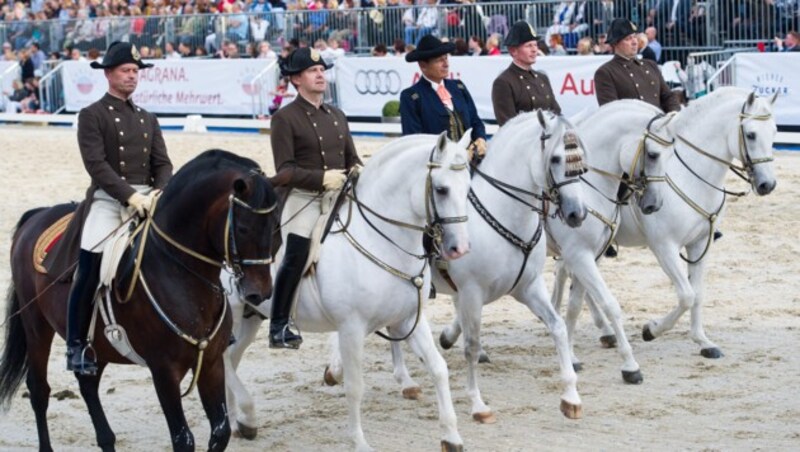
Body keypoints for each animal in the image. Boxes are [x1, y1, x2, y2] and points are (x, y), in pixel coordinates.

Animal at [0, 150, 280, 450]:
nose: (260, 292)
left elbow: (220, 433)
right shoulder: (164, 371)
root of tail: (38, 215)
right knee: (39, 390)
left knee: (88, 384)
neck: (179, 272)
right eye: (243, 227)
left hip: (97, 344)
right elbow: (183, 438)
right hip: (36, 327)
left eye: (275, 226)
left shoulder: (211, 364)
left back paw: (107, 439)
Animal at [222, 132, 472, 450]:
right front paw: (359, 442)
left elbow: (439, 368)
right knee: (224, 360)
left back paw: (235, 422)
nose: (459, 248)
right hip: (231, 311)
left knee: (231, 358)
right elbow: (355, 387)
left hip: (251, 315)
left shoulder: (408, 320)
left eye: (468, 188)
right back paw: (247, 416)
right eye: (441, 190)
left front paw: (451, 436)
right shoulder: (351, 327)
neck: (382, 240)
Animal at [328, 110, 592, 424]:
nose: (577, 213)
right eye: (555, 159)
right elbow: (471, 346)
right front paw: (478, 405)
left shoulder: (529, 287)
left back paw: (405, 381)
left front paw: (571, 398)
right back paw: (345, 369)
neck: (503, 213)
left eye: (581, 159)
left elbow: (558, 327)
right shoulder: (471, 293)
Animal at [560, 86, 780, 358]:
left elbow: (698, 294)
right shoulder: (664, 246)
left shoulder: (700, 244)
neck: (690, 175)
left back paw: (603, 330)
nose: (767, 185)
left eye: (775, 132)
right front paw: (651, 330)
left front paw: (703, 341)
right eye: (750, 134)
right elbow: (686, 295)